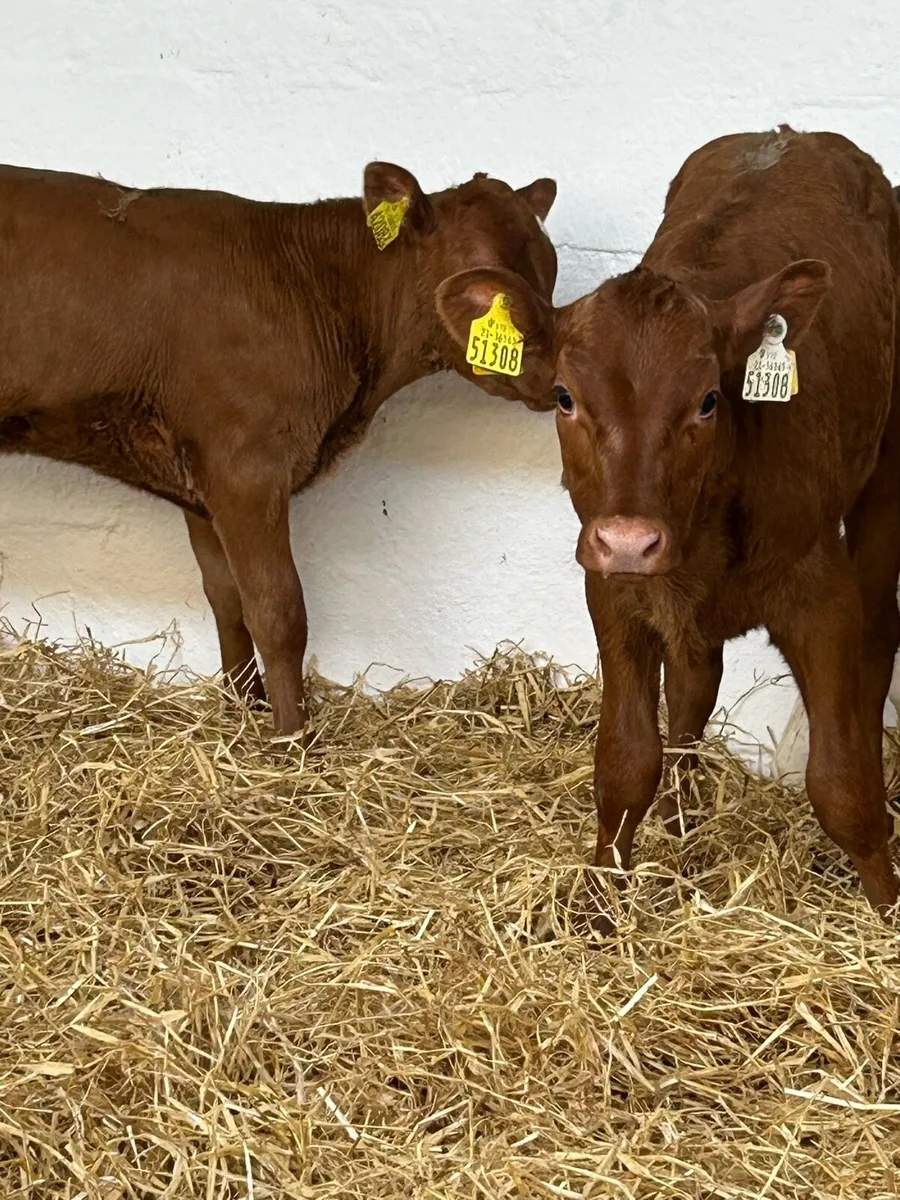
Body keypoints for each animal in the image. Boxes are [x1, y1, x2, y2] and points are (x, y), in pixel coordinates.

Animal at [0, 160, 558, 734]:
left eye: (551, 273)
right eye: (487, 287)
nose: (559, 374)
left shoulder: (203, 476)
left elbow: (228, 598)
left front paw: (246, 705)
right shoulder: (246, 466)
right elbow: (278, 611)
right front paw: (293, 735)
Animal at [437, 127, 900, 919]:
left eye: (710, 399)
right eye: (564, 395)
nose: (631, 537)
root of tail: (790, 133)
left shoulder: (819, 592)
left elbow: (842, 783)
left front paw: (885, 906)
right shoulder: (614, 591)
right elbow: (625, 763)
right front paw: (599, 904)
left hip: (889, 468)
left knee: (880, 636)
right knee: (693, 685)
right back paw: (684, 819)